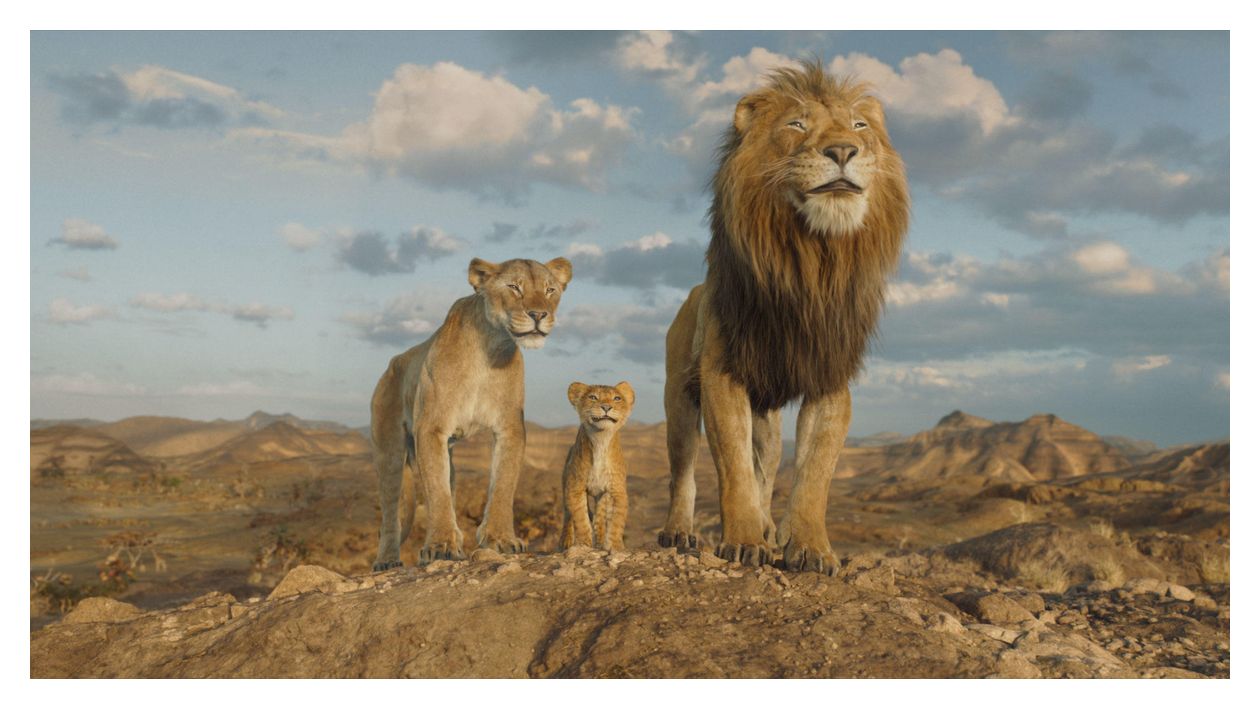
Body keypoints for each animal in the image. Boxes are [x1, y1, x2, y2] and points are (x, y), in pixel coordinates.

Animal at [370, 256, 573, 571]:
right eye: (514, 287)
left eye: (550, 290)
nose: (539, 314)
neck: (490, 347)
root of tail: (393, 363)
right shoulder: (431, 428)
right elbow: (437, 492)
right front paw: (441, 545)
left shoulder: (509, 427)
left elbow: (503, 484)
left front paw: (500, 539)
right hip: (389, 451)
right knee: (391, 511)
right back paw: (387, 560)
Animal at [560, 381, 635, 551]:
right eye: (593, 397)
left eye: (617, 398)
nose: (606, 407)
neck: (601, 439)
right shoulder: (575, 488)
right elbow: (580, 519)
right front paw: (583, 545)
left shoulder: (616, 490)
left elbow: (616, 522)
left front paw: (615, 546)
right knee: (568, 515)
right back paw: (565, 542)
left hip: (602, 496)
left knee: (600, 519)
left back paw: (600, 542)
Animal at [657, 61, 910, 575]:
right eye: (796, 124)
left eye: (860, 126)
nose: (843, 151)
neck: (811, 261)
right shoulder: (722, 374)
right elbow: (733, 469)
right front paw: (742, 540)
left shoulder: (829, 377)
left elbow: (815, 473)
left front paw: (810, 548)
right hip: (678, 397)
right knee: (684, 470)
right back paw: (679, 532)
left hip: (767, 420)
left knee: (767, 468)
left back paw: (769, 525)